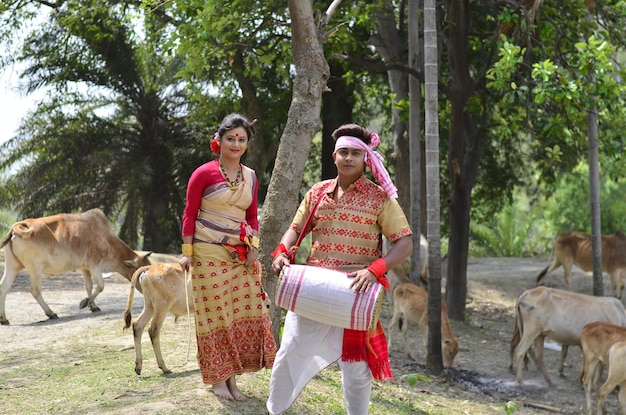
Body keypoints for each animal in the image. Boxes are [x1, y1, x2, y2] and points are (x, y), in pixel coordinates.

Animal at [0, 210, 151, 326]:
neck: (105, 236)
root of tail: (19, 226)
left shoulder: (85, 268)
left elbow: (89, 286)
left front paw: (93, 306)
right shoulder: (94, 265)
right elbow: (101, 285)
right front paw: (84, 303)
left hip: (12, 266)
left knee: (3, 288)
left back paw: (4, 319)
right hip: (35, 268)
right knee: (35, 290)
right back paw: (51, 313)